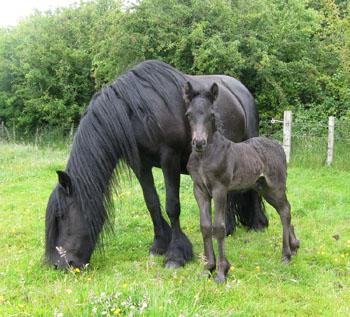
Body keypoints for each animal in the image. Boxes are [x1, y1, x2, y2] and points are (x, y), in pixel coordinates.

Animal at [45, 59, 266, 270]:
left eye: (60, 215)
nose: (58, 264)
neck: (137, 113)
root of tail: (240, 90)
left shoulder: (169, 160)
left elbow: (172, 206)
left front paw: (176, 255)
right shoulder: (141, 165)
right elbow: (151, 202)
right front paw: (159, 244)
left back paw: (258, 224)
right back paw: (228, 228)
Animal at [185, 81, 300, 282]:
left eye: (211, 115)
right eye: (189, 114)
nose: (199, 142)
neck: (204, 156)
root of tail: (278, 146)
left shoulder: (220, 189)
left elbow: (219, 228)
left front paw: (221, 272)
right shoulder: (199, 190)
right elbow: (205, 227)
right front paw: (208, 269)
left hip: (275, 186)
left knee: (285, 211)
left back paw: (286, 255)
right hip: (263, 188)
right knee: (284, 209)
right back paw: (293, 247)